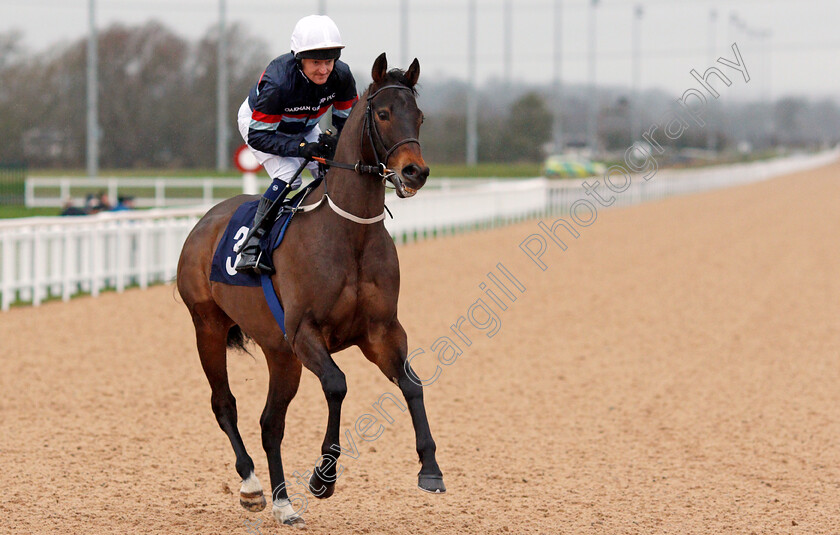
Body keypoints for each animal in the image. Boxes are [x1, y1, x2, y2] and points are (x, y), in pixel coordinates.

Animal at [175, 52, 442, 528]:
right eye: (383, 113)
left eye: (420, 116)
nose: (415, 172)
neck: (350, 234)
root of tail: (204, 222)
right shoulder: (305, 333)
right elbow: (337, 386)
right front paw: (323, 477)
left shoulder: (382, 332)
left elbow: (412, 385)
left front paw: (429, 467)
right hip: (208, 325)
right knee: (224, 404)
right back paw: (252, 487)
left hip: (279, 353)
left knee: (270, 423)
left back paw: (284, 504)